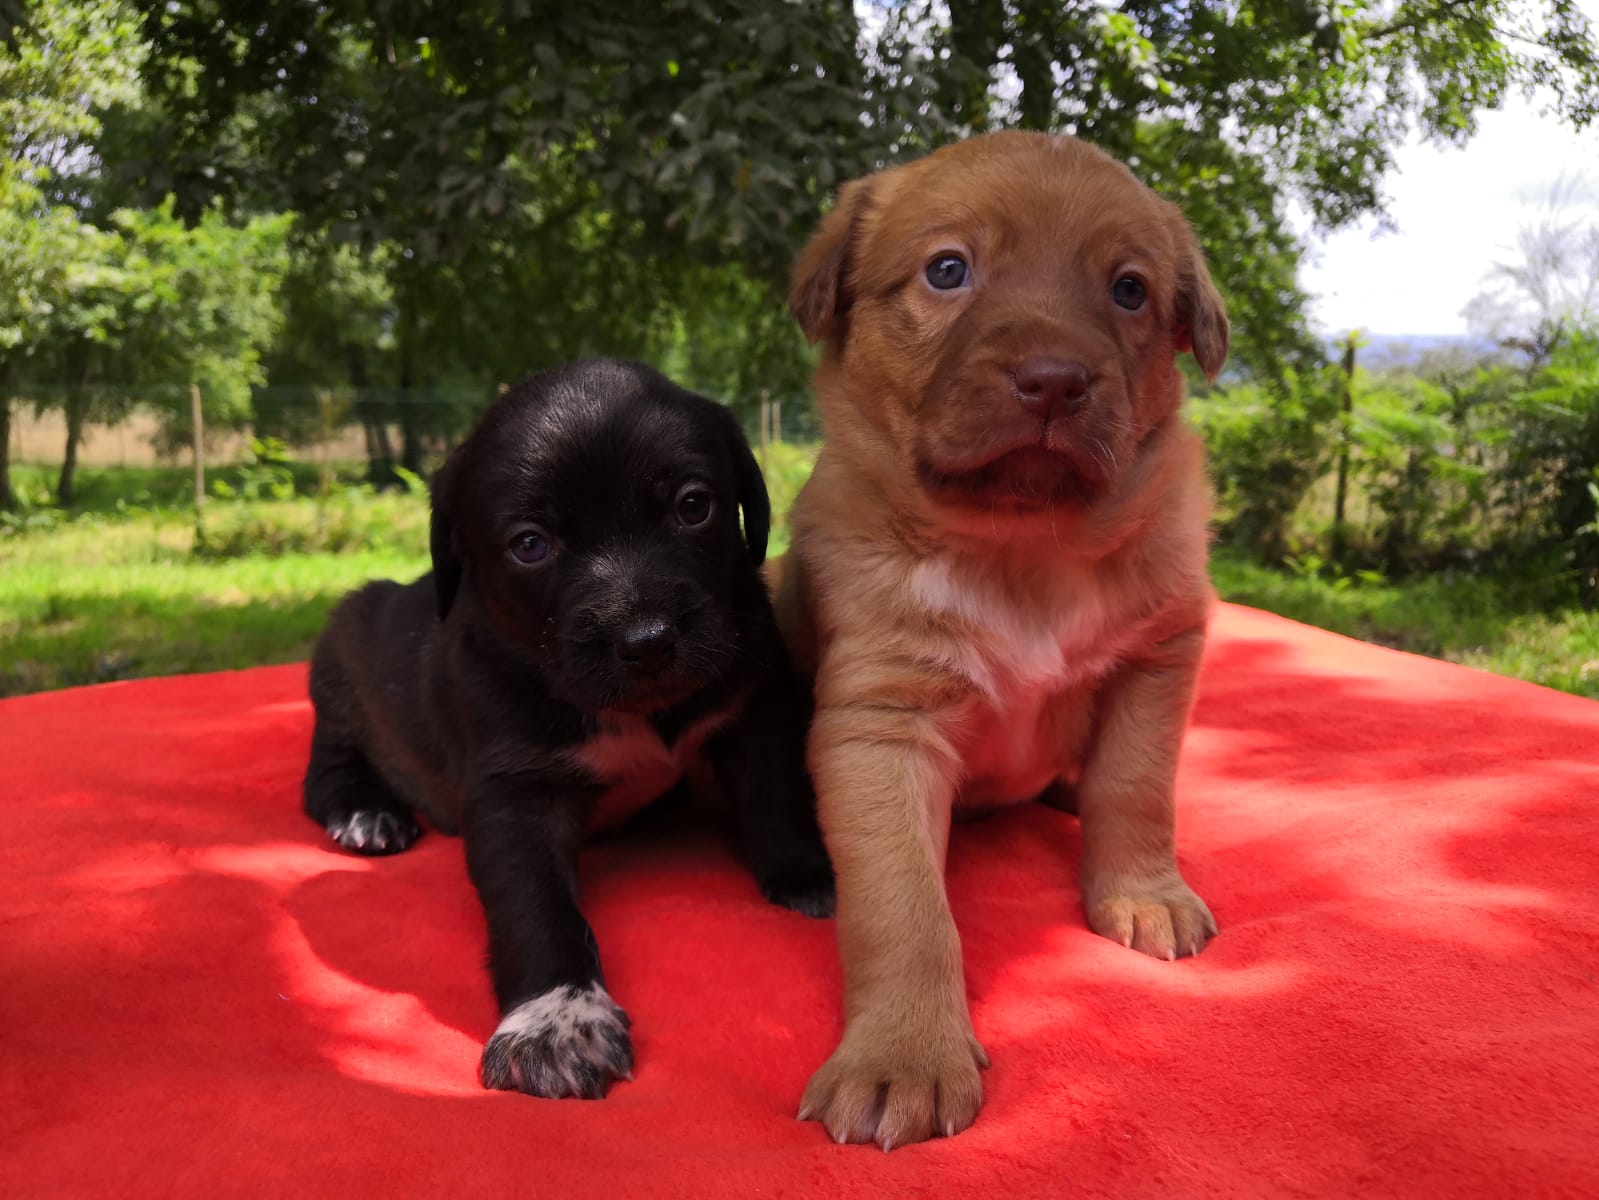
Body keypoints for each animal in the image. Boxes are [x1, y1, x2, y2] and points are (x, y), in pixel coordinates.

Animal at [302, 358, 834, 1100]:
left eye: (692, 506)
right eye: (530, 545)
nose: (647, 640)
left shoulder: (755, 698)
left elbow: (774, 793)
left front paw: (804, 872)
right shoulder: (513, 790)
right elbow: (535, 904)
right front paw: (553, 1020)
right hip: (341, 668)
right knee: (327, 765)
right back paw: (364, 813)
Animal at [770, 130, 1228, 1149]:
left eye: (1129, 289)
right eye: (948, 270)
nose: (1054, 379)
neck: (1024, 548)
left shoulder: (1160, 653)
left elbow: (1137, 788)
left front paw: (1142, 891)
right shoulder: (879, 723)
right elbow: (902, 906)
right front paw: (903, 1054)